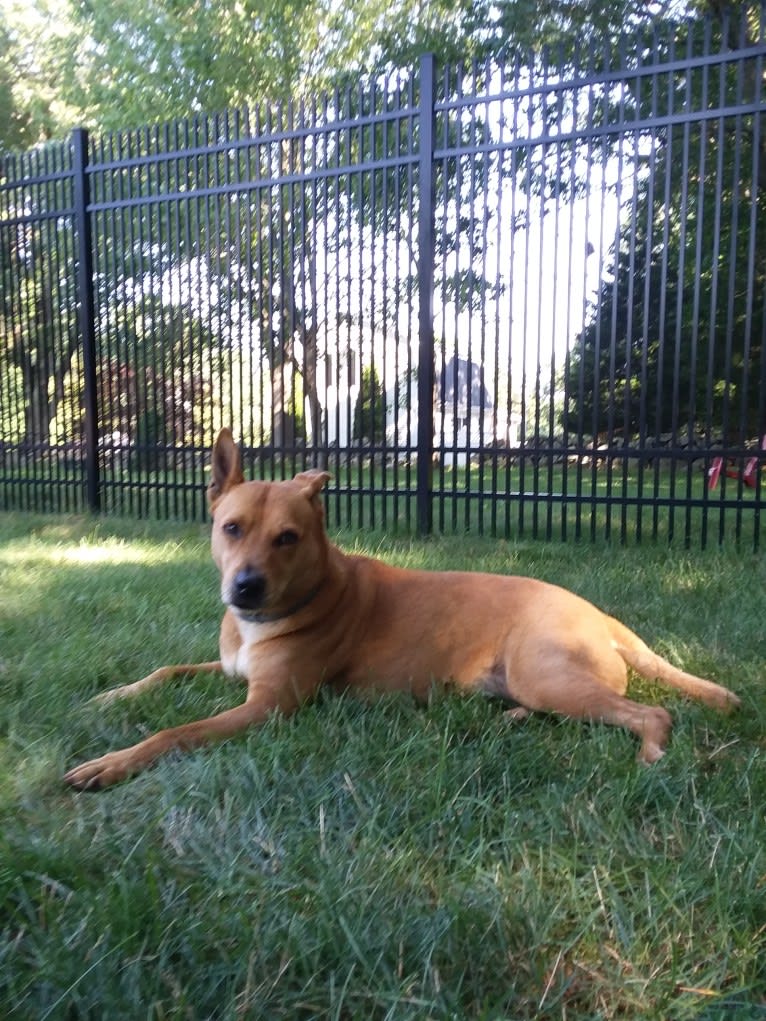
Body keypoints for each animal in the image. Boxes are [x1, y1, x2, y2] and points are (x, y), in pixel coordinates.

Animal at [64, 422, 739, 788]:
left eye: (287, 537)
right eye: (231, 528)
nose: (245, 588)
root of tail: (598, 613)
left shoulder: (268, 707)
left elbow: (176, 732)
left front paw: (113, 762)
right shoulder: (227, 668)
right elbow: (165, 670)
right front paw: (111, 697)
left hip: (550, 675)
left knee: (651, 713)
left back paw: (649, 753)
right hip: (541, 681)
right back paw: (512, 719)